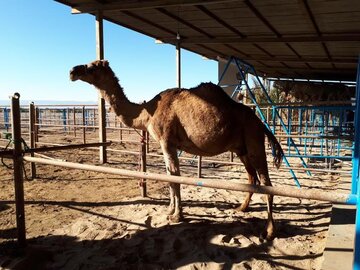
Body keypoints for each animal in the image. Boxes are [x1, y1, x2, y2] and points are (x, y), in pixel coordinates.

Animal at [70, 59, 284, 240]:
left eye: (92, 67)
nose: (73, 71)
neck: (147, 114)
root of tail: (261, 123)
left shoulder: (167, 142)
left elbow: (174, 176)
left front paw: (177, 216)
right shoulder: (166, 145)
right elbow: (169, 176)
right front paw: (170, 211)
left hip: (254, 141)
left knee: (267, 183)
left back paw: (269, 232)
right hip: (241, 149)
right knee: (252, 178)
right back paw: (241, 208)